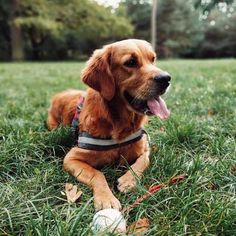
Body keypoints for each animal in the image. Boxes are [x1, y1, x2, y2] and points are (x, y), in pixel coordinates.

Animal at [47, 38, 171, 210]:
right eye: (130, 62)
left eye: (153, 59)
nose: (166, 78)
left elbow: (143, 161)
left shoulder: (145, 147)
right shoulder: (71, 158)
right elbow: (97, 174)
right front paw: (106, 198)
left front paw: (128, 180)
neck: (119, 125)